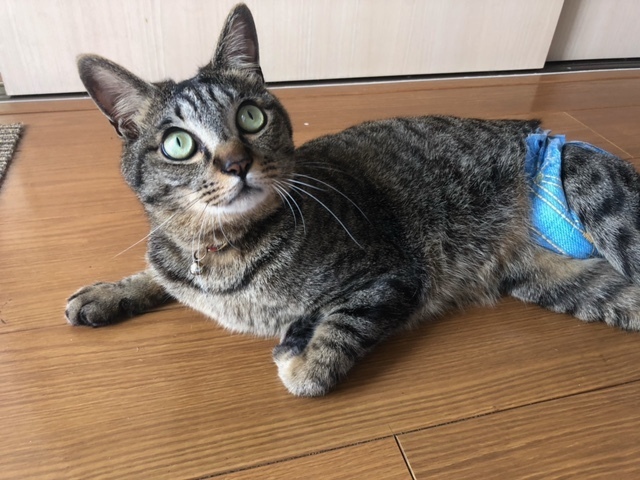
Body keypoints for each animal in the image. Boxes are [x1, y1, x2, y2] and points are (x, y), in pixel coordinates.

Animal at [66, 3, 640, 396]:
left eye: (251, 116)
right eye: (178, 144)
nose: (236, 164)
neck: (222, 251)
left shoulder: (392, 275)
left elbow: (332, 339)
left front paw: (300, 353)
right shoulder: (175, 263)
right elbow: (156, 272)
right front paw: (108, 293)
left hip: (588, 180)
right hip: (565, 284)